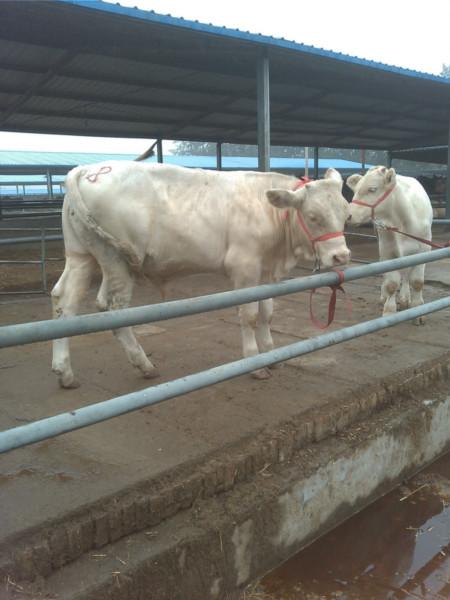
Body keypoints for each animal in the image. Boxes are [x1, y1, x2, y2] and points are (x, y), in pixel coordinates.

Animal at [51, 162, 350, 386]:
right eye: (313, 216)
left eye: (346, 214)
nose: (342, 256)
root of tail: (86, 169)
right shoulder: (245, 267)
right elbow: (250, 315)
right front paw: (255, 362)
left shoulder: (267, 273)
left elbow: (267, 312)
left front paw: (271, 354)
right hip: (115, 260)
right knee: (114, 310)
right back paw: (144, 364)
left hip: (80, 255)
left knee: (64, 301)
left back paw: (64, 371)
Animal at [348, 166, 432, 322]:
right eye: (355, 190)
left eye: (372, 189)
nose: (348, 215)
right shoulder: (388, 250)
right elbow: (391, 283)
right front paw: (389, 310)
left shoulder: (424, 249)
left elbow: (417, 282)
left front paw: (418, 310)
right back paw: (386, 297)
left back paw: (405, 298)